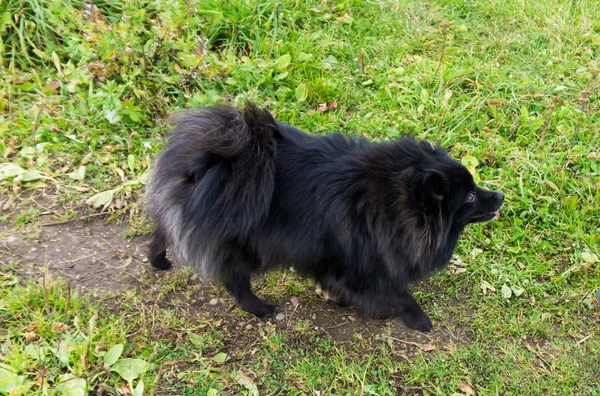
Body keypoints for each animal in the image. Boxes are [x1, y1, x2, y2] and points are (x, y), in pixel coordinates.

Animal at [144, 103, 502, 332]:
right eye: (470, 196)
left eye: (475, 186)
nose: (499, 195)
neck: (391, 202)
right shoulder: (363, 265)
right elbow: (397, 296)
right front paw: (418, 319)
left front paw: (342, 300)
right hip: (244, 245)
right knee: (235, 280)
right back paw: (260, 307)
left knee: (161, 231)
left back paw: (158, 260)